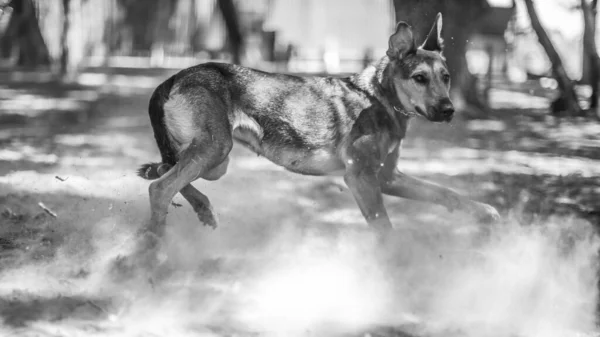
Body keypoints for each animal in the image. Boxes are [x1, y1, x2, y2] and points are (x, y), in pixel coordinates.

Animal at [136, 11, 502, 240]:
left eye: (446, 77)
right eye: (420, 78)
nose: (449, 110)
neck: (379, 97)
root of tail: (175, 77)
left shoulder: (388, 177)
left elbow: (445, 193)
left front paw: (485, 212)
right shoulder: (360, 178)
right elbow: (385, 228)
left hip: (214, 160)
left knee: (168, 174)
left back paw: (200, 209)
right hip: (215, 148)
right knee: (161, 189)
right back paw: (154, 245)